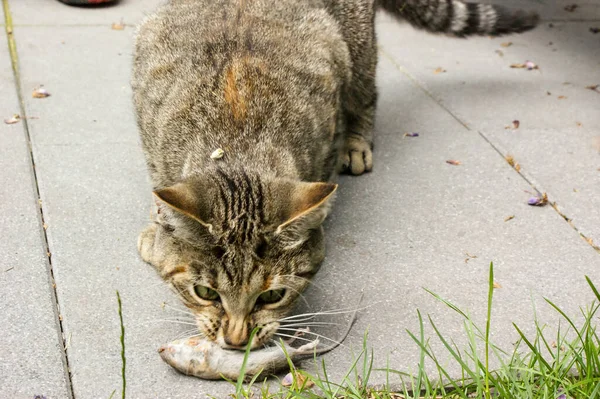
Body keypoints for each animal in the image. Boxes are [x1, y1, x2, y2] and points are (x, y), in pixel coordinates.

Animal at [132, 0, 540, 350]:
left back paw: (356, 143)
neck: (236, 145)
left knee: (366, 95)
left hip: (358, 48)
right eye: (206, 293)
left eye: (272, 296)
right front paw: (155, 228)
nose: (235, 341)